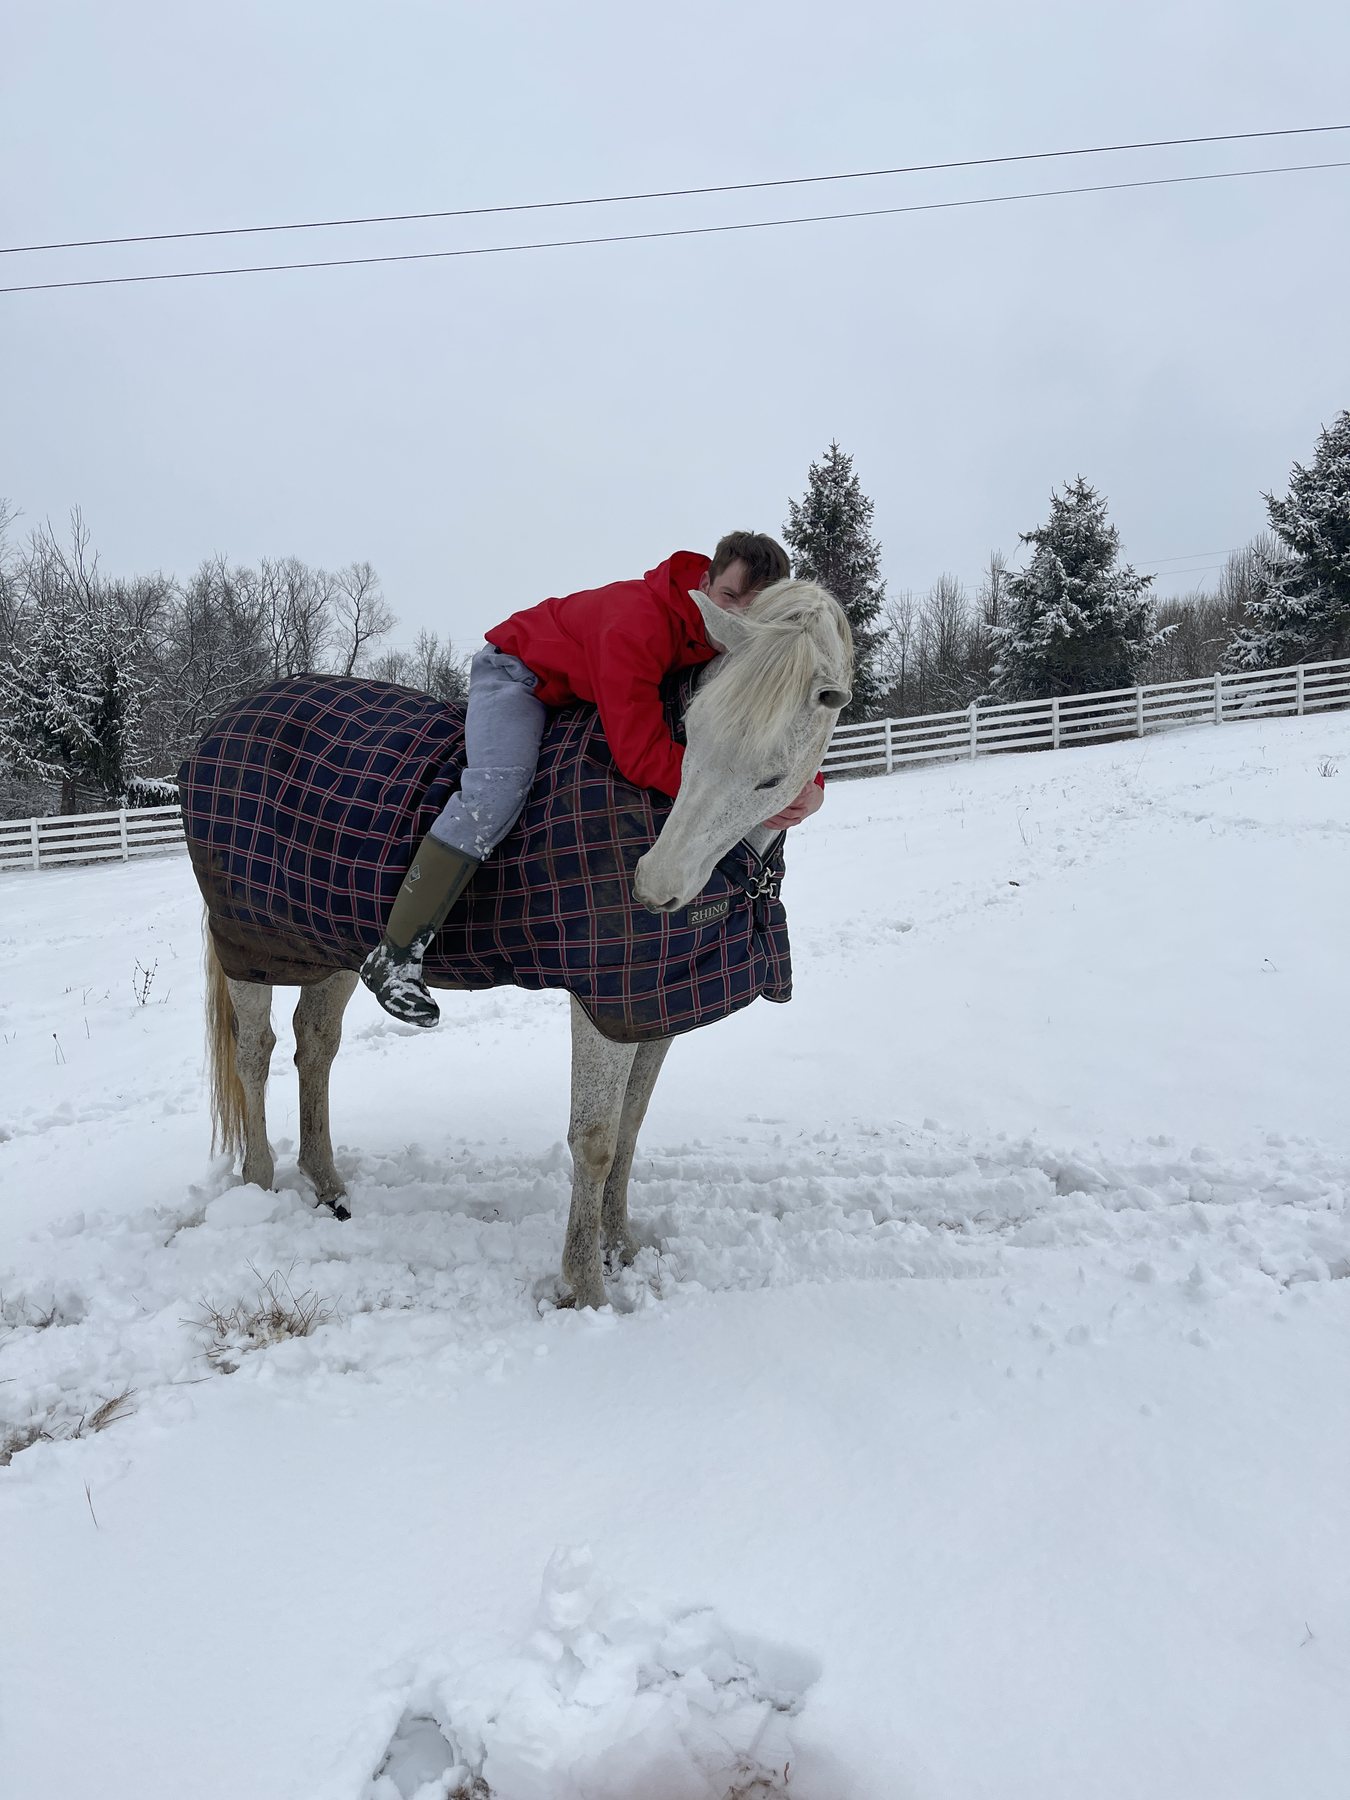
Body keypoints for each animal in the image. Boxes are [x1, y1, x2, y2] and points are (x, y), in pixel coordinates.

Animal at [187, 580, 852, 1309]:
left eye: (770, 778)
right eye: (692, 734)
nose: (654, 885)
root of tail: (223, 724)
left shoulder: (658, 1002)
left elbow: (631, 1124)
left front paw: (621, 1246)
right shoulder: (604, 1005)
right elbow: (595, 1140)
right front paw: (585, 1288)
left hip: (328, 941)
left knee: (314, 1045)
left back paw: (327, 1185)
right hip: (250, 943)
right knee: (254, 1052)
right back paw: (258, 1181)